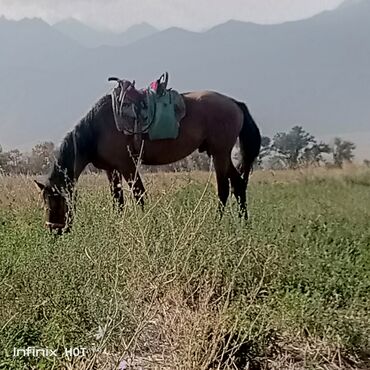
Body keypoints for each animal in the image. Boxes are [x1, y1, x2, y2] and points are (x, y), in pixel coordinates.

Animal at [34, 85, 260, 233]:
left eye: (56, 202)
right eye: (44, 204)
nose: (54, 231)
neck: (97, 130)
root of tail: (234, 103)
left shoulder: (127, 165)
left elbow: (139, 195)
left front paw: (147, 225)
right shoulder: (110, 169)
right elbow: (118, 201)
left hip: (220, 153)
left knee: (224, 190)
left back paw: (217, 224)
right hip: (221, 154)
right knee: (238, 185)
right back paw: (245, 224)